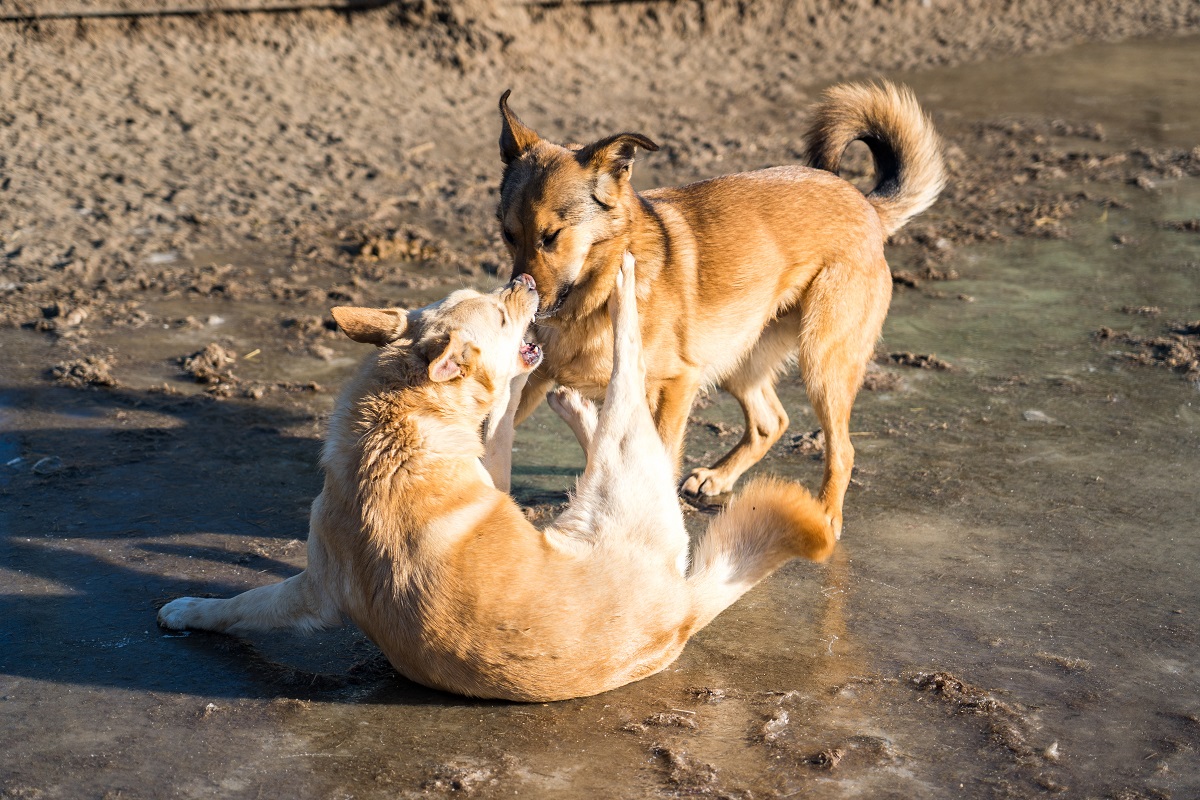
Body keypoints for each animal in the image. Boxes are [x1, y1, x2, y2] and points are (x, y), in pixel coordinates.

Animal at [157, 257, 835, 700]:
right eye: (503, 315)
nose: (526, 280)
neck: (402, 422)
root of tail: (682, 612)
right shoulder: (315, 590)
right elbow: (240, 606)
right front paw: (194, 610)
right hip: (624, 460)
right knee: (625, 374)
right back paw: (617, 299)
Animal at [492, 81, 940, 537]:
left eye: (551, 236)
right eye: (508, 234)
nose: (522, 296)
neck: (592, 297)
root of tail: (865, 204)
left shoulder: (677, 385)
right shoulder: (533, 378)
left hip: (822, 362)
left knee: (842, 448)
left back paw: (827, 514)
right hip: (737, 357)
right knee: (770, 422)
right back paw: (719, 476)